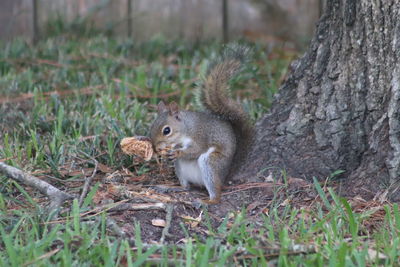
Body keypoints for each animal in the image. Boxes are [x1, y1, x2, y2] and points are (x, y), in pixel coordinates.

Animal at [150, 46, 253, 205]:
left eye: (167, 130)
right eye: (152, 125)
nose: (155, 147)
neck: (186, 128)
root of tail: (225, 175)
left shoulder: (200, 136)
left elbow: (196, 150)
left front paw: (178, 152)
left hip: (211, 163)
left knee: (216, 193)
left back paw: (208, 201)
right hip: (181, 169)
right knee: (186, 187)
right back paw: (171, 187)